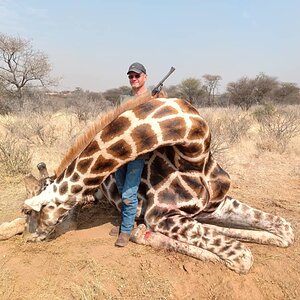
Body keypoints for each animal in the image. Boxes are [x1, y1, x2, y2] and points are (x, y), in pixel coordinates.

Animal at [21, 94, 292, 274]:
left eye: (29, 212)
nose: (28, 237)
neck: (194, 156)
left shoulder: (217, 205)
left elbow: (284, 231)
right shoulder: (162, 217)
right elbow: (241, 255)